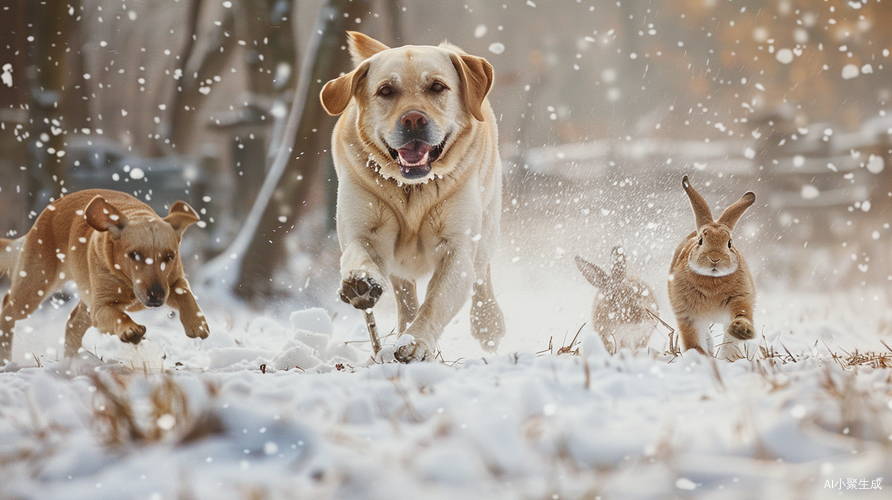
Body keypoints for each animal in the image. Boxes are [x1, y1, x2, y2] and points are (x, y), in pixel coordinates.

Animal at [0, 188, 208, 364]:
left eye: (169, 256)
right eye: (135, 255)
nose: (156, 295)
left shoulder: (173, 280)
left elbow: (183, 292)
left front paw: (197, 323)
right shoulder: (101, 307)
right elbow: (119, 315)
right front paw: (131, 330)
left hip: (84, 298)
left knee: (73, 322)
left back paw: (71, 364)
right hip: (35, 285)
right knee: (8, 307)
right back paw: (6, 359)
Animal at [320, 31, 506, 362]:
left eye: (437, 87)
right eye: (386, 90)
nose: (414, 120)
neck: (412, 188)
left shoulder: (457, 249)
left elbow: (435, 302)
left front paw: (416, 342)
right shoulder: (362, 231)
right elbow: (358, 254)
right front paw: (360, 283)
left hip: (486, 230)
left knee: (481, 275)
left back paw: (488, 324)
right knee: (404, 292)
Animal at [672, 176, 756, 360]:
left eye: (729, 243)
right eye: (700, 241)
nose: (715, 258)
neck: (712, 280)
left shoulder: (741, 298)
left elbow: (741, 315)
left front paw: (742, 331)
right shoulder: (688, 315)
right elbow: (692, 338)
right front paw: (700, 357)